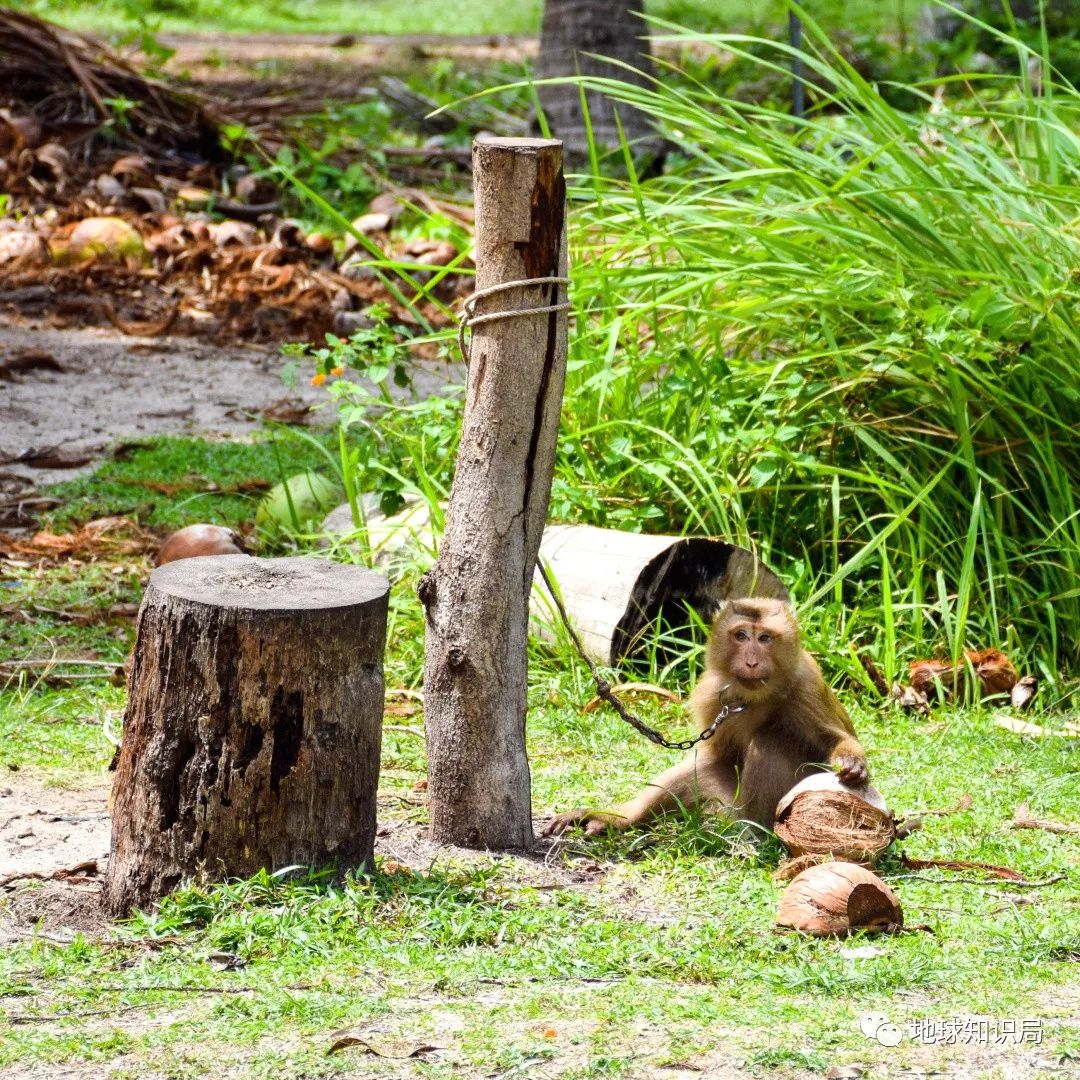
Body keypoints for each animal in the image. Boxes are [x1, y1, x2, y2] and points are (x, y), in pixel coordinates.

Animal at [544, 600, 872, 833]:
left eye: (765, 638)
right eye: (741, 635)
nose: (751, 662)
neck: (755, 696)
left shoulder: (806, 684)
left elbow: (835, 738)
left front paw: (852, 763)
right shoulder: (711, 694)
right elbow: (716, 756)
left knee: (771, 738)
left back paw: (753, 829)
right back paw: (619, 819)